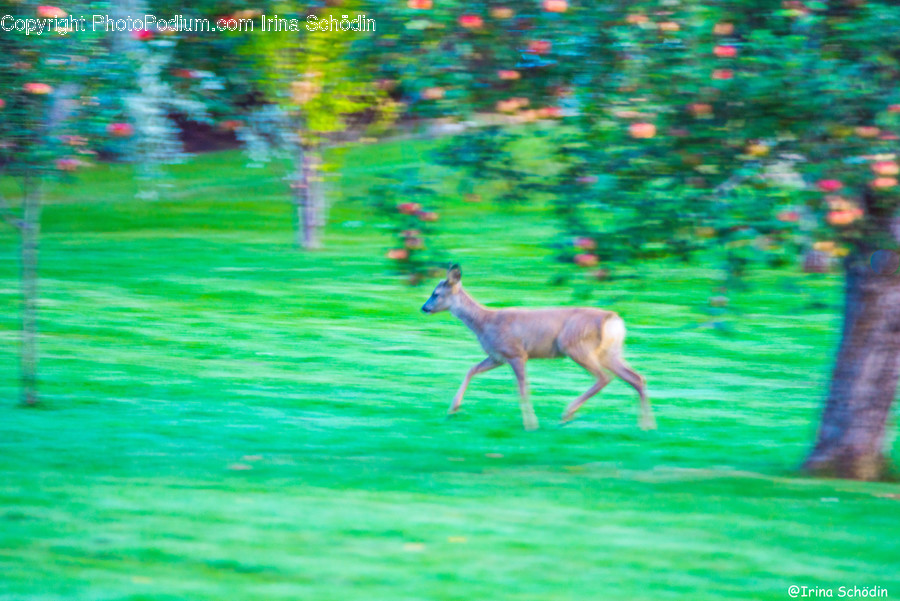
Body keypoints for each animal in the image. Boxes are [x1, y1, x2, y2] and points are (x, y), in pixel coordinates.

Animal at [421, 264, 656, 431]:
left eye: (436, 293)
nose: (424, 308)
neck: (485, 322)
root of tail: (613, 320)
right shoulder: (498, 356)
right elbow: (471, 370)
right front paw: (453, 409)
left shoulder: (516, 353)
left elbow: (523, 388)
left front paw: (531, 425)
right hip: (610, 352)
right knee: (637, 378)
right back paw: (648, 427)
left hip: (576, 346)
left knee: (604, 377)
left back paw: (566, 414)